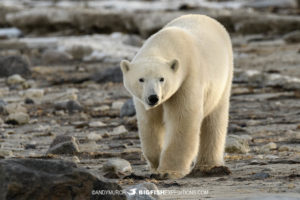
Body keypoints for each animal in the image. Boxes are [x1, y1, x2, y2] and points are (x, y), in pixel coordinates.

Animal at [120, 14, 233, 180]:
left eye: (162, 78)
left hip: (223, 79)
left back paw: (208, 165)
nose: (153, 97)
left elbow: (183, 118)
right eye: (141, 79)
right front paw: (155, 162)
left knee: (215, 119)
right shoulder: (142, 101)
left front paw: (168, 170)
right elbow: (150, 122)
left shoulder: (187, 79)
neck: (166, 43)